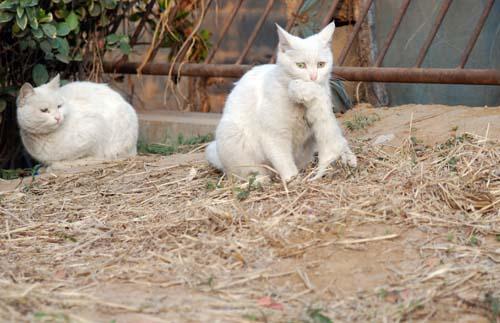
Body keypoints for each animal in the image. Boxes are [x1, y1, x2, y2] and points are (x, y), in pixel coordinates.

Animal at [205, 22, 358, 184]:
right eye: (301, 65)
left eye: (321, 64)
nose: (313, 77)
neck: (300, 106)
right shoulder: (274, 136)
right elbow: (283, 161)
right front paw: (293, 180)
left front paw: (348, 157)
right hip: (233, 135)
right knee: (246, 172)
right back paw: (260, 179)